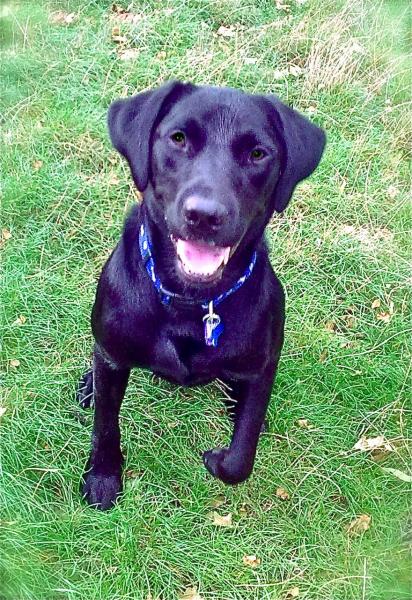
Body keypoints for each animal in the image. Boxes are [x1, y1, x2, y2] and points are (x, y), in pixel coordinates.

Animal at [78, 81, 326, 510]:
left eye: (257, 153)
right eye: (178, 139)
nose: (205, 215)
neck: (188, 301)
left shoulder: (262, 367)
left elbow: (241, 457)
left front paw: (219, 458)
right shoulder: (112, 353)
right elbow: (106, 426)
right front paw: (103, 478)